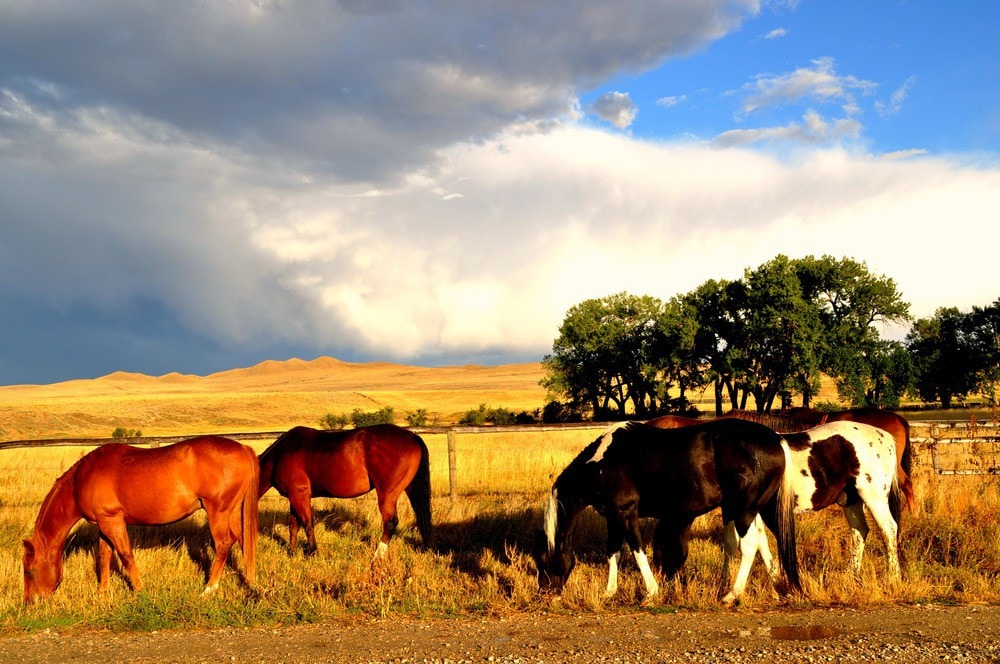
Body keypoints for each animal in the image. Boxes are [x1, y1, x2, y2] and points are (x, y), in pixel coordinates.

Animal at [23, 438, 260, 604]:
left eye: (29, 571)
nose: (29, 603)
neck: (83, 478)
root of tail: (243, 448)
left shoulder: (112, 521)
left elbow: (126, 556)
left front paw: (139, 590)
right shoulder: (103, 524)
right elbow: (104, 557)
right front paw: (103, 593)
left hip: (218, 512)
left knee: (223, 544)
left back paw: (209, 588)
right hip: (231, 512)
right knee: (243, 541)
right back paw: (250, 581)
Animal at [256, 426, 432, 556]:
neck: (279, 455)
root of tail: (412, 436)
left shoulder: (300, 496)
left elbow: (307, 524)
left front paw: (313, 552)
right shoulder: (293, 498)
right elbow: (293, 526)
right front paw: (291, 553)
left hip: (387, 495)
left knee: (390, 522)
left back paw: (378, 555)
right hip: (410, 489)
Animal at [536, 422, 800, 604]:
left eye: (544, 560)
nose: (544, 592)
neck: (603, 463)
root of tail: (776, 439)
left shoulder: (626, 513)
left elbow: (637, 551)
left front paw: (651, 592)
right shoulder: (613, 517)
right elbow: (613, 552)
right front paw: (609, 592)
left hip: (745, 509)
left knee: (749, 546)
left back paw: (732, 594)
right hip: (752, 510)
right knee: (761, 543)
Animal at [740, 420, 904, 580]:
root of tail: (885, 436)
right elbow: (760, 542)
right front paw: (775, 577)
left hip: (874, 498)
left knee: (889, 530)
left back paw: (893, 577)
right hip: (851, 501)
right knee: (860, 531)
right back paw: (851, 574)